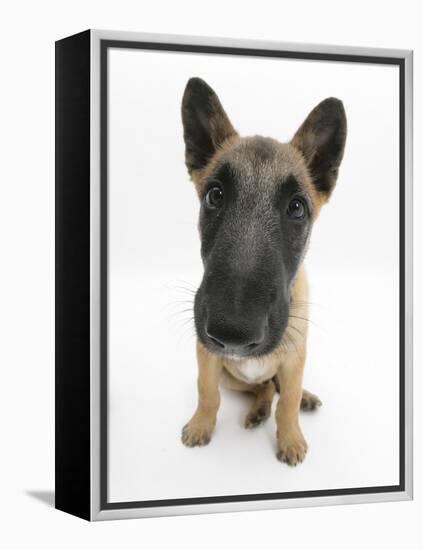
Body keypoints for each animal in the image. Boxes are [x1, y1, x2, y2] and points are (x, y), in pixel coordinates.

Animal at [181, 77, 346, 466]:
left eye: (297, 208)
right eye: (214, 195)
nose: (233, 333)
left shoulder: (295, 359)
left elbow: (287, 404)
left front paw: (290, 437)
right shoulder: (208, 358)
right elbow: (207, 393)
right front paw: (201, 425)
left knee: (280, 389)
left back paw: (302, 398)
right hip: (233, 377)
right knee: (261, 388)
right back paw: (257, 409)